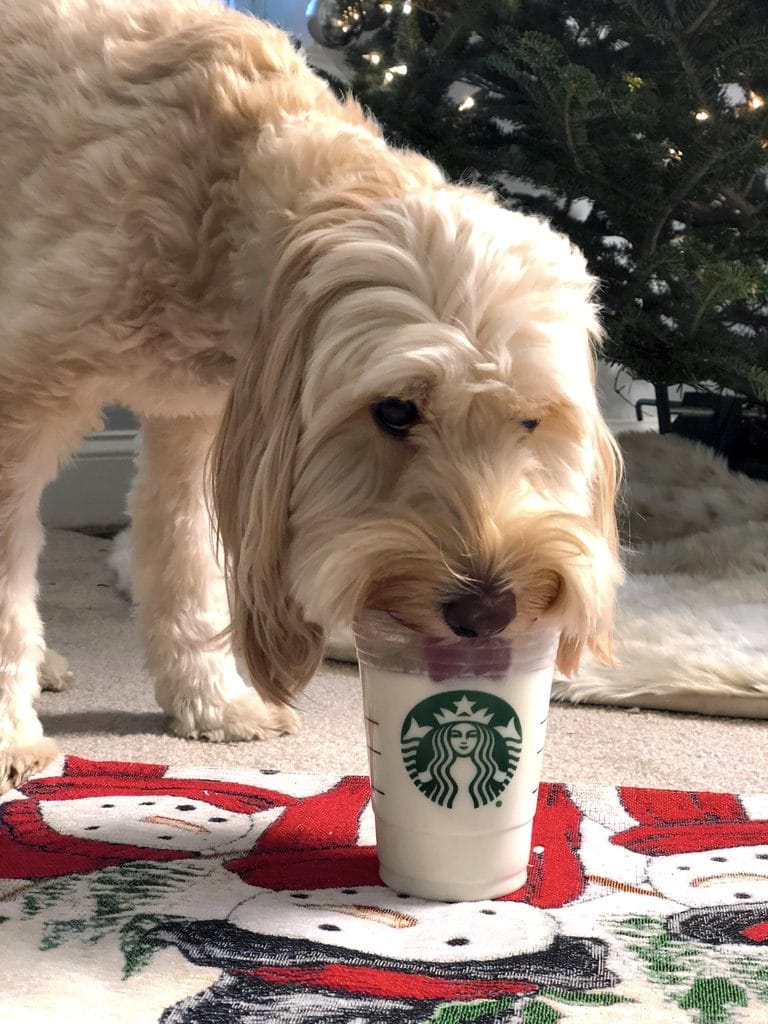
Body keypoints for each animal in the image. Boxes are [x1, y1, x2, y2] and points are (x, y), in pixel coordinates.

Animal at [0, 0, 626, 790]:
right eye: (395, 411)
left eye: (531, 421)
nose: (488, 610)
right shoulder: (23, 395)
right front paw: (9, 736)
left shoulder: (195, 419)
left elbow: (184, 562)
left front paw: (211, 700)